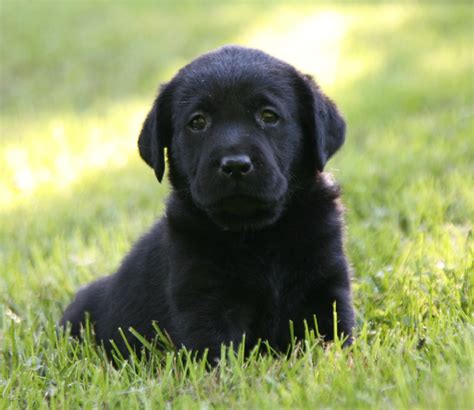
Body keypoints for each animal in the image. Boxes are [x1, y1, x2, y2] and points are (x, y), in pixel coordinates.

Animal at [60, 44, 356, 358]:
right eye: (198, 122)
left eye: (268, 116)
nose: (235, 165)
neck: (257, 234)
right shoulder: (203, 298)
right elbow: (217, 352)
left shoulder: (327, 286)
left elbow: (333, 340)